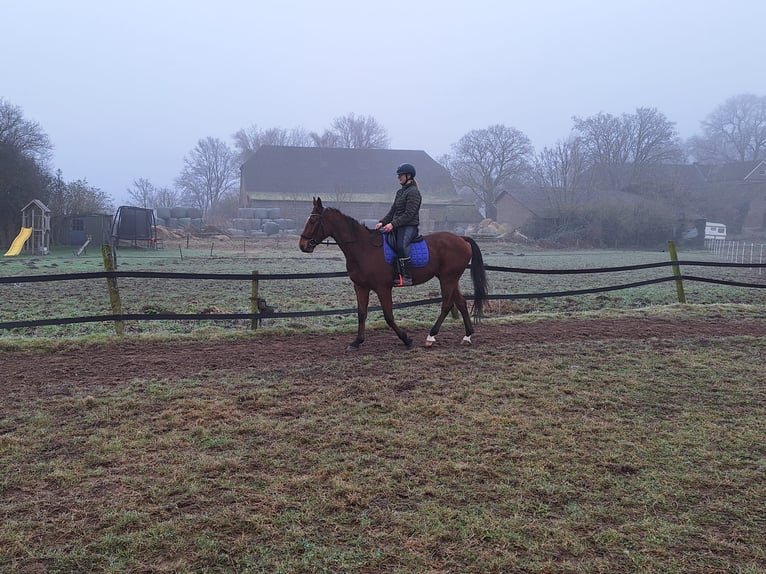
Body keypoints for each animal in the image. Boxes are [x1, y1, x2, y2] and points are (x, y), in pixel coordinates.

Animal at [296, 198, 488, 352]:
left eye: (312, 220)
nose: (303, 245)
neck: (363, 248)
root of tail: (461, 238)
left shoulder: (383, 288)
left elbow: (388, 316)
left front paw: (407, 339)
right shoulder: (361, 287)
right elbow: (361, 313)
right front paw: (356, 342)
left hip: (448, 278)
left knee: (447, 304)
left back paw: (431, 337)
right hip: (450, 278)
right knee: (461, 303)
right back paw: (467, 336)